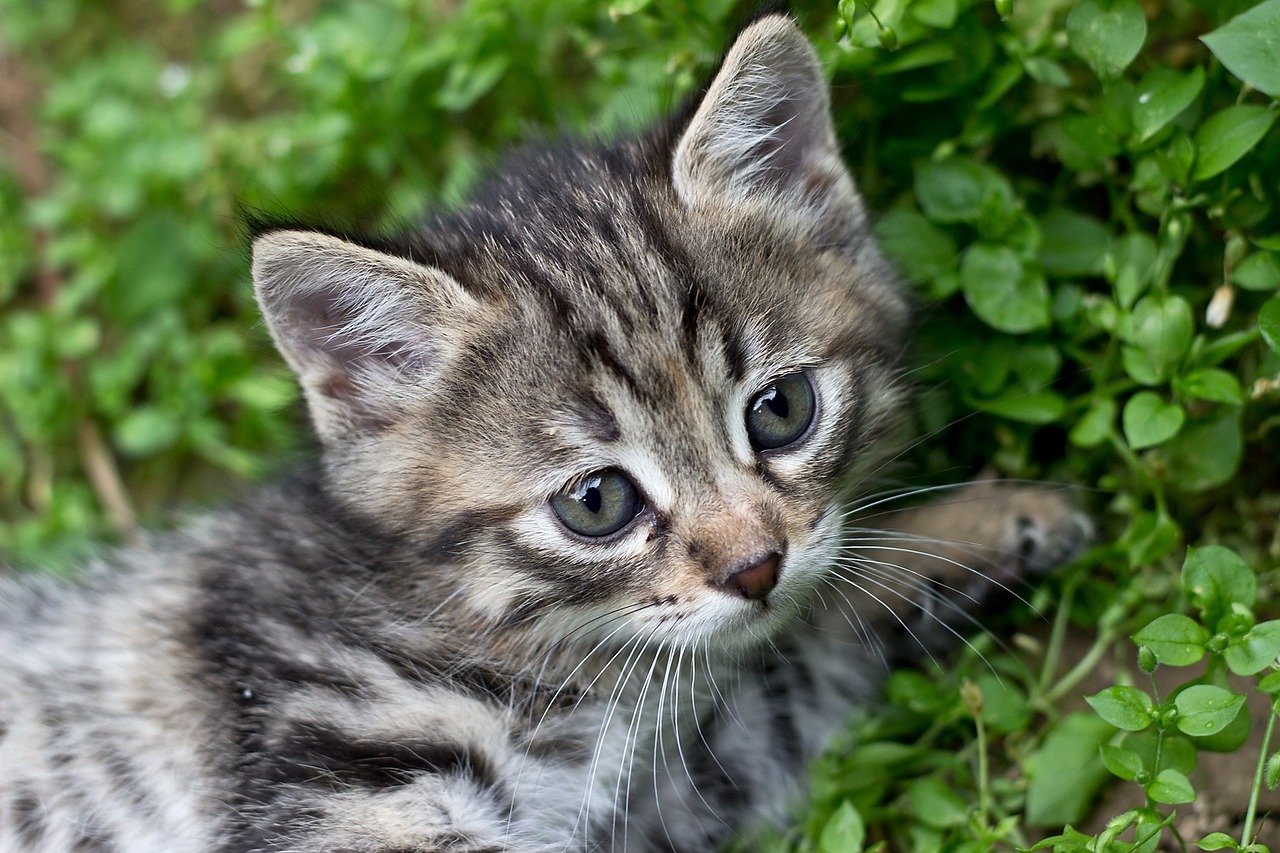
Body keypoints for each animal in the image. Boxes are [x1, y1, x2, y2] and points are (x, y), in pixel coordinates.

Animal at [0, 14, 1085, 850]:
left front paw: (970, 530)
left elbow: (786, 668)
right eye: (597, 501)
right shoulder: (339, 770)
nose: (753, 568)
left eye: (779, 411)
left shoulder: (658, 786)